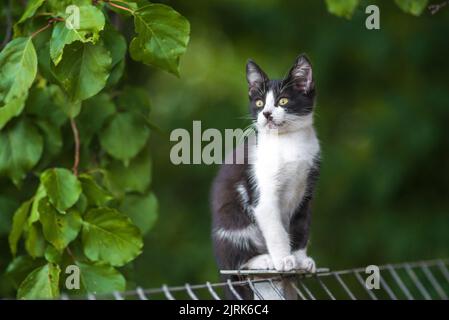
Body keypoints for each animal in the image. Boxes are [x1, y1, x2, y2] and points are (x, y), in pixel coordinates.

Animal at [210, 53, 318, 298]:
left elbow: (301, 226)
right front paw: (284, 259)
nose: (266, 114)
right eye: (259, 103)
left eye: (283, 101)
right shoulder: (262, 193)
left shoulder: (306, 190)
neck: (288, 142)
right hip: (232, 222)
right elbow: (276, 230)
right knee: (235, 262)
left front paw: (300, 259)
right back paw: (263, 260)